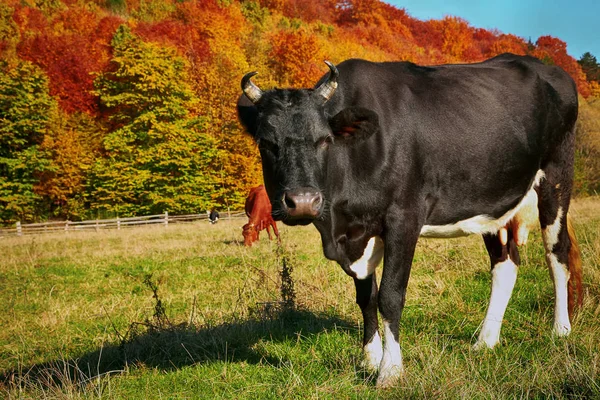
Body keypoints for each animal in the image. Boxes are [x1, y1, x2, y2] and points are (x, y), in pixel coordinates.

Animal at [238, 54, 580, 386]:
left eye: (324, 140)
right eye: (266, 143)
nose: (303, 202)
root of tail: (546, 67)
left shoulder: (404, 217)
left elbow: (390, 295)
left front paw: (390, 370)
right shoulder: (358, 234)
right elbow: (365, 297)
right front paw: (370, 358)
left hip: (557, 177)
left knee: (557, 253)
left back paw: (560, 330)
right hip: (494, 200)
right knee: (505, 264)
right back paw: (485, 341)